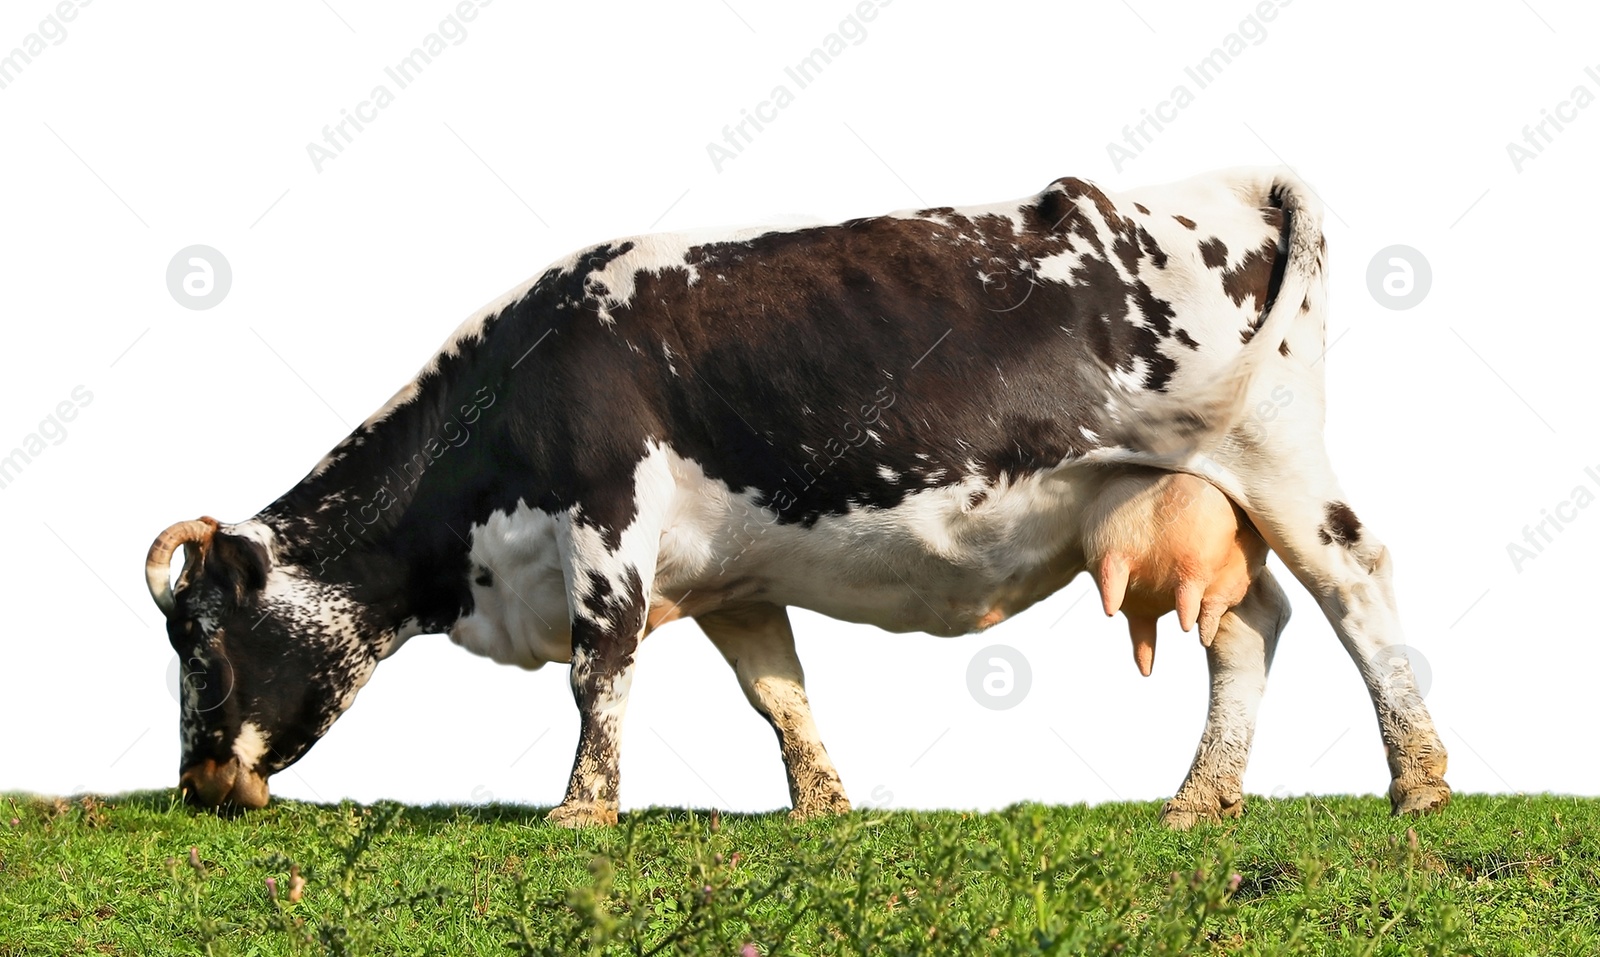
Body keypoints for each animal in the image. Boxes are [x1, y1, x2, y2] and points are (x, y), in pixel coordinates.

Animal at [147, 168, 1452, 825]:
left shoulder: (606, 522)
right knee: (1247, 623)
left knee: (1354, 581)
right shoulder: (728, 577)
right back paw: (1199, 798)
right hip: (1188, 496)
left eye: (198, 644)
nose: (199, 784)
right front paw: (822, 809)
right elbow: (778, 696)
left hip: (1275, 458)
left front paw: (579, 815)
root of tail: (1224, 182)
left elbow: (598, 675)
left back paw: (1418, 779)